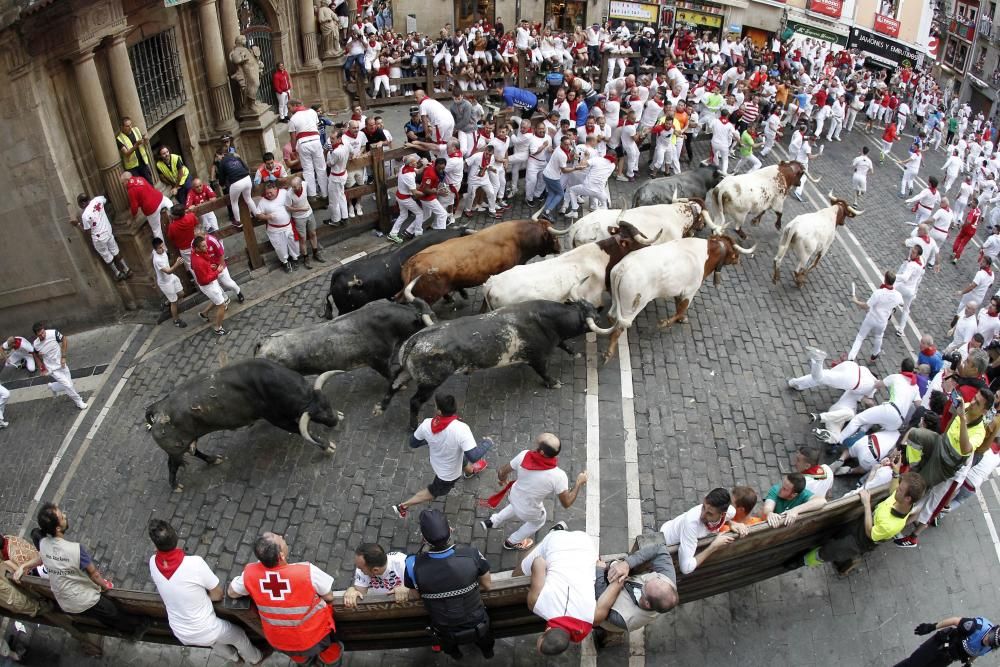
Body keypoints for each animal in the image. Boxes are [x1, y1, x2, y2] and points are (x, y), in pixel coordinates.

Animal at [146, 362, 344, 494]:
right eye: (319, 417)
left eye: (328, 404)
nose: (334, 420)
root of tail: (156, 409)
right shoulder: (276, 419)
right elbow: (300, 430)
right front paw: (327, 446)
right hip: (176, 450)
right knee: (172, 464)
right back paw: (176, 486)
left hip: (189, 441)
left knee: (195, 452)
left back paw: (213, 459)